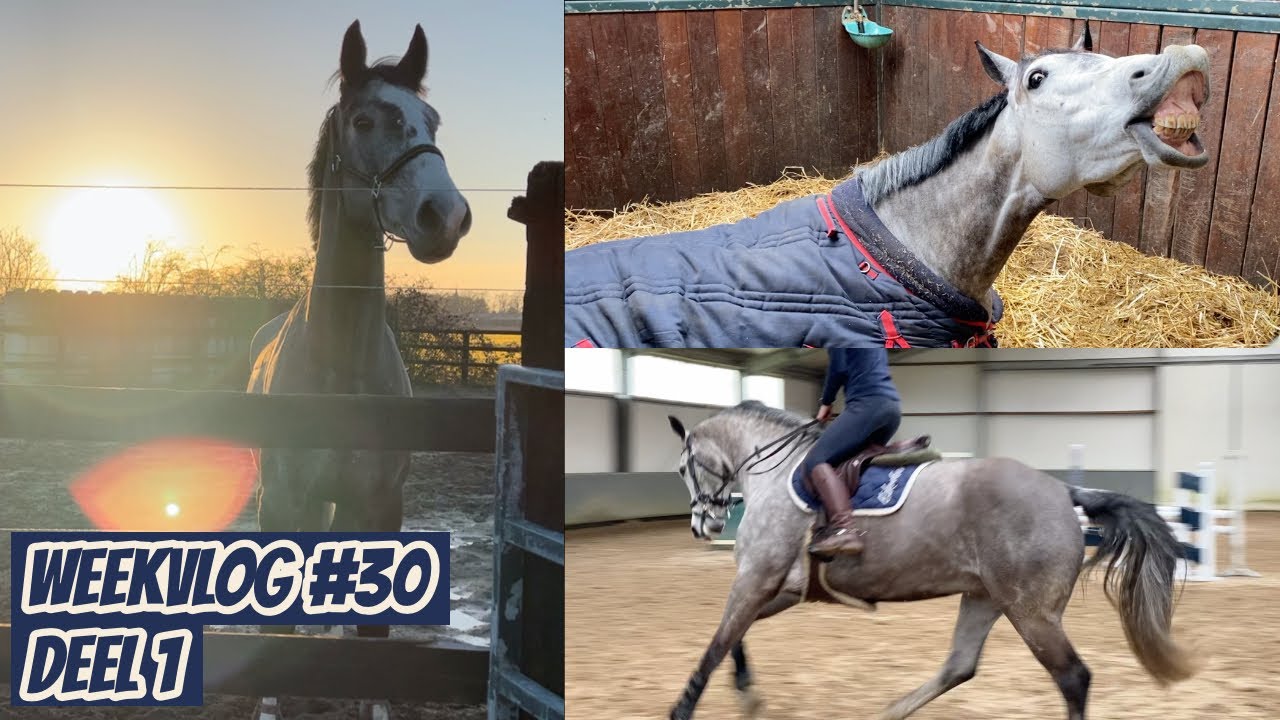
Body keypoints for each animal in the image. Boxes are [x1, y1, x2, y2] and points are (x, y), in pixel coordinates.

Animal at [246, 20, 471, 720]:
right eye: (366, 119)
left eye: (432, 120)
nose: (445, 216)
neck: (341, 370)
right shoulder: (282, 500)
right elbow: (275, 623)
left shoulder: (380, 505)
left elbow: (375, 638)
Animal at [666, 401, 1198, 720]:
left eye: (683, 468)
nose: (702, 526)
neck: (776, 473)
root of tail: (1064, 490)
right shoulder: (781, 587)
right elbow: (734, 637)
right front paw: (747, 692)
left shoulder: (756, 579)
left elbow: (717, 644)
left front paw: (683, 709)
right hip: (986, 597)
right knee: (959, 666)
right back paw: (889, 712)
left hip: (1032, 612)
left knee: (1072, 677)